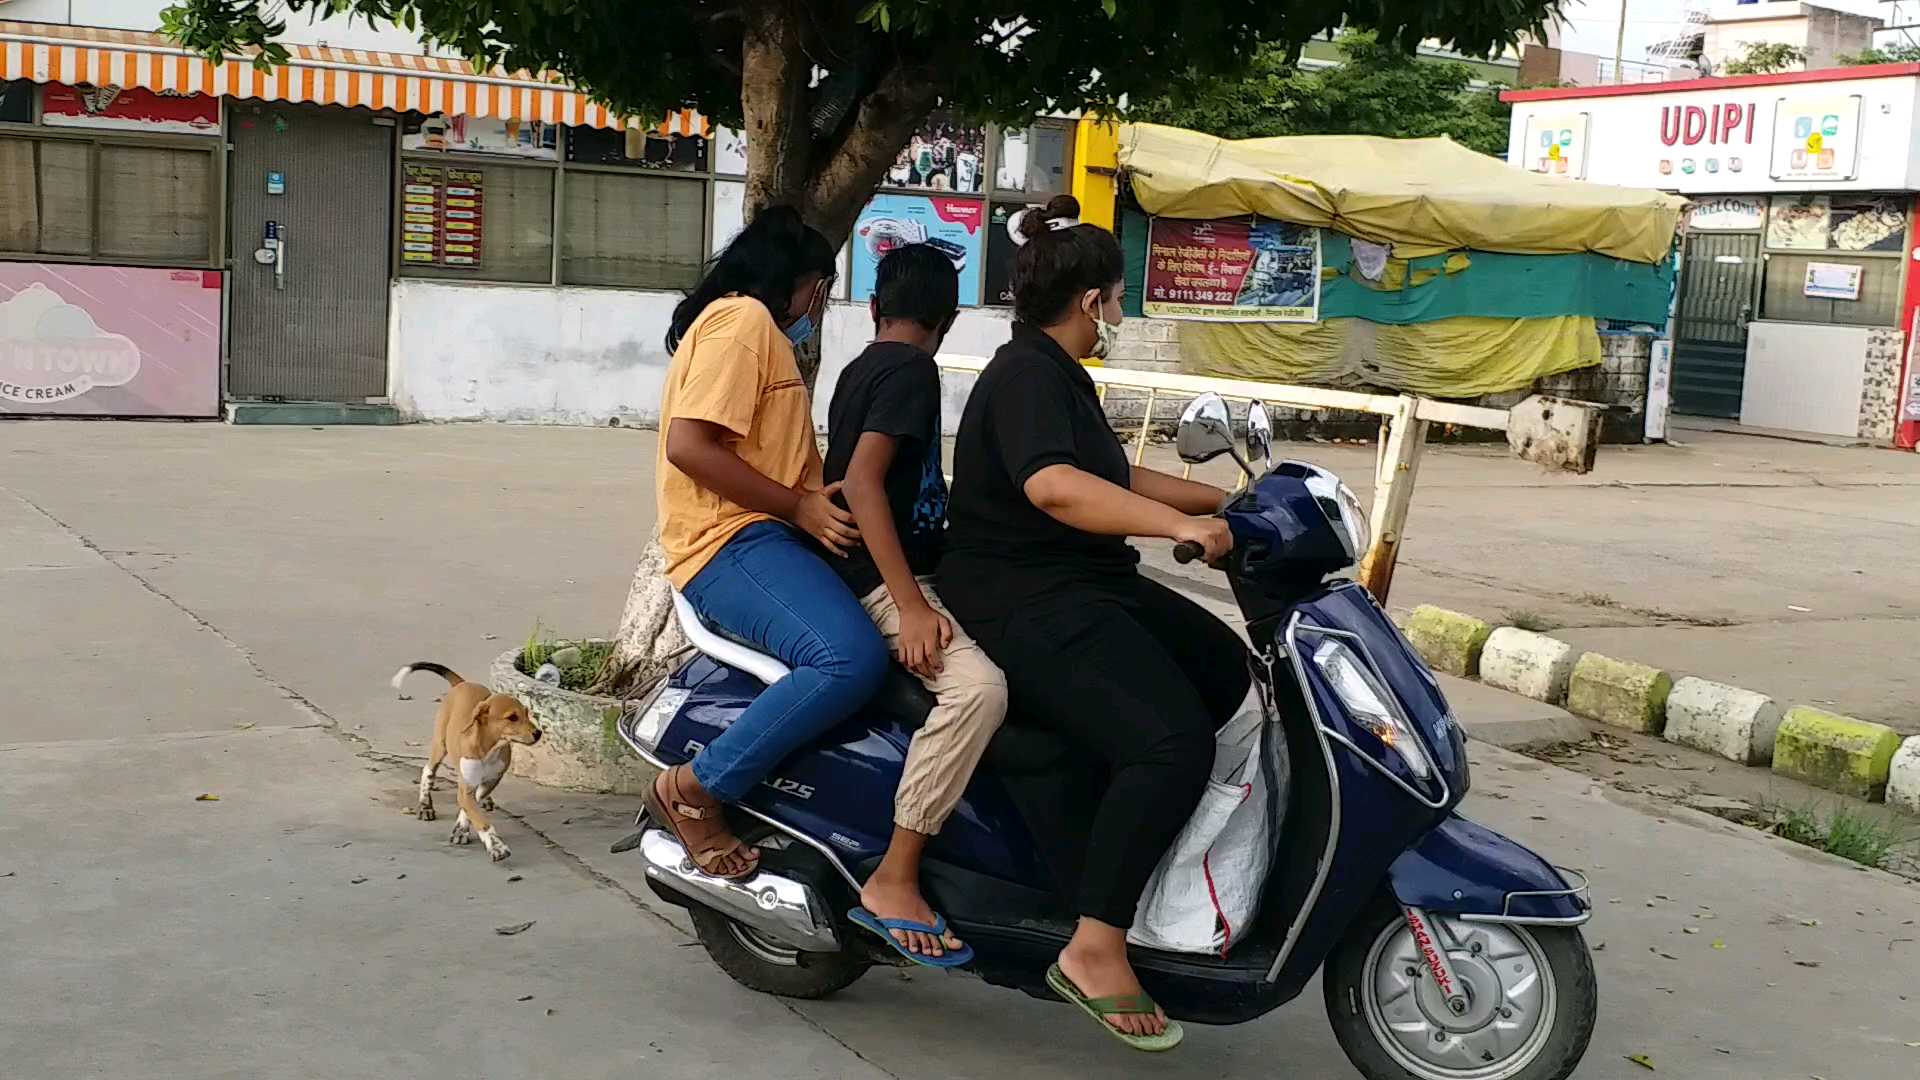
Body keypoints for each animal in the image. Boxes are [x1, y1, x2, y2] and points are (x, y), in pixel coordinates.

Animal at [389, 657, 541, 857]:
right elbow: (478, 817)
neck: (489, 750)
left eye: (526, 713)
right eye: (512, 717)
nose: (538, 733)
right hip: (440, 744)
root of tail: (462, 683)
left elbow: (471, 805)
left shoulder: (491, 780)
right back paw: (425, 806)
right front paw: (496, 846)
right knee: (428, 772)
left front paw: (461, 829)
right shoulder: (466, 785)